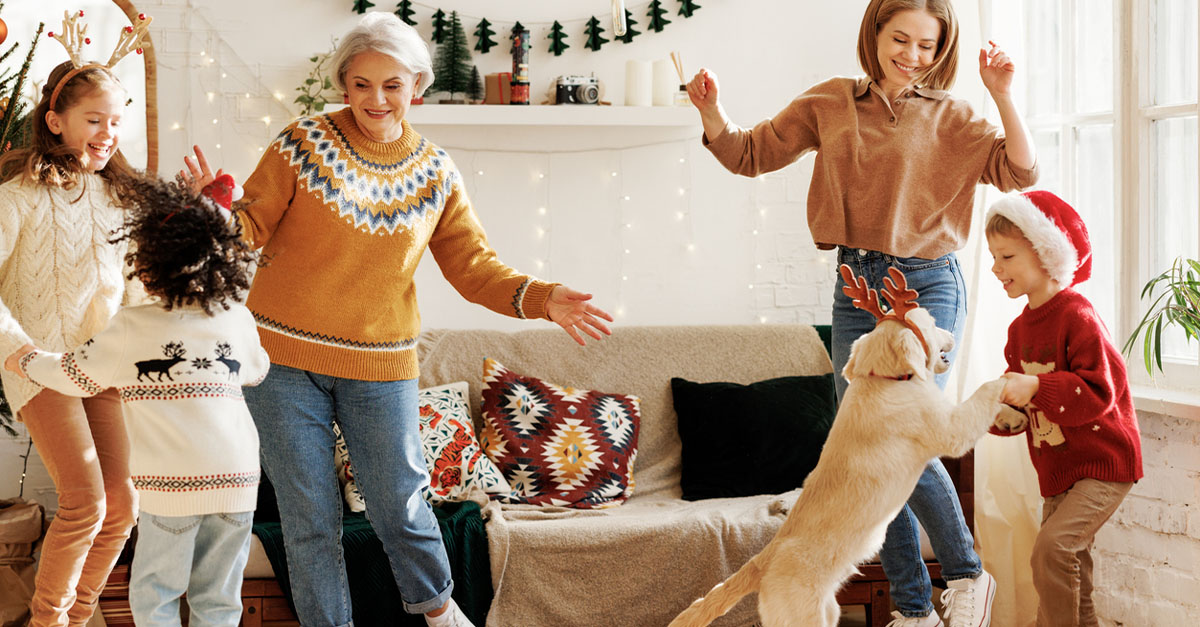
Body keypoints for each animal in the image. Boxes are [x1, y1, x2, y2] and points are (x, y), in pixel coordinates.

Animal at [667, 264, 1022, 624]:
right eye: (933, 323)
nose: (951, 338)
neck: (882, 380)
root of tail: (760, 563)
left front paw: (1012, 416)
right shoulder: (951, 430)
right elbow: (984, 392)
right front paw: (1010, 381)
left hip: (829, 609)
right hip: (804, 616)